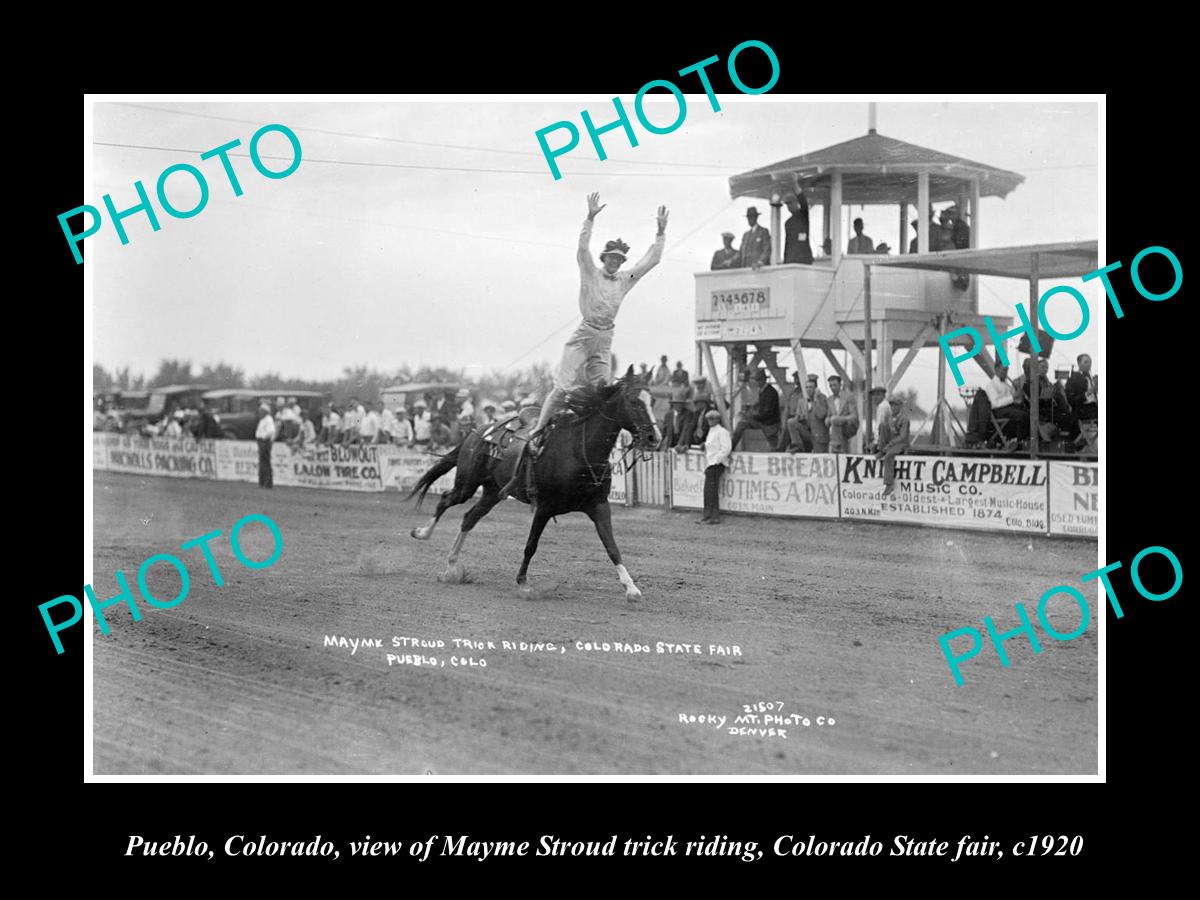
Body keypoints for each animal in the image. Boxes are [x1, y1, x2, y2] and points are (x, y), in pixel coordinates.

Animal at [410, 367, 657, 600]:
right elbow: (531, 545)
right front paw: (523, 583)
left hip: (492, 492)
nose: (654, 437)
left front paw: (631, 589)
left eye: (652, 400)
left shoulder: (599, 506)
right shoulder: (544, 507)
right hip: (466, 484)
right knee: (445, 500)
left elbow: (611, 546)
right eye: (634, 401)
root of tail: (476, 431)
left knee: (469, 518)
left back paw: (452, 565)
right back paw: (422, 534)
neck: (578, 449)